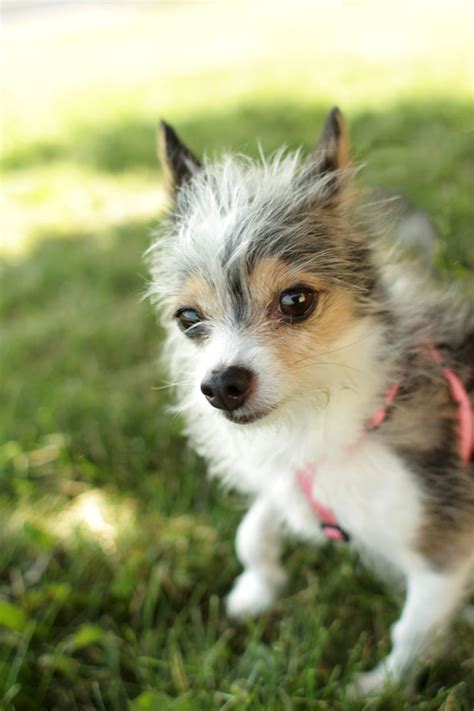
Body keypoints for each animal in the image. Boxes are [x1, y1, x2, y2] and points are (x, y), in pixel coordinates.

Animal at [146, 108, 472, 700]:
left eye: (296, 300)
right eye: (188, 318)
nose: (221, 386)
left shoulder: (446, 551)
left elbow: (412, 627)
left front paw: (378, 689)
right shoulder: (293, 479)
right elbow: (251, 531)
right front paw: (256, 590)